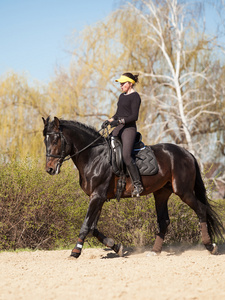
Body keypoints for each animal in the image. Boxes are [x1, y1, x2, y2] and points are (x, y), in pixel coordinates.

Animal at [42, 117, 225, 258]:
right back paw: (155, 251)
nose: (49, 169)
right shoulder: (98, 198)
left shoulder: (97, 196)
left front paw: (75, 251)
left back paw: (210, 246)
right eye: (45, 141)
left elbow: (86, 225)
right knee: (164, 221)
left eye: (56, 140)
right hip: (161, 193)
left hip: (183, 191)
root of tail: (187, 153)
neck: (94, 156)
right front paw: (116, 247)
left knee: (201, 209)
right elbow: (93, 227)